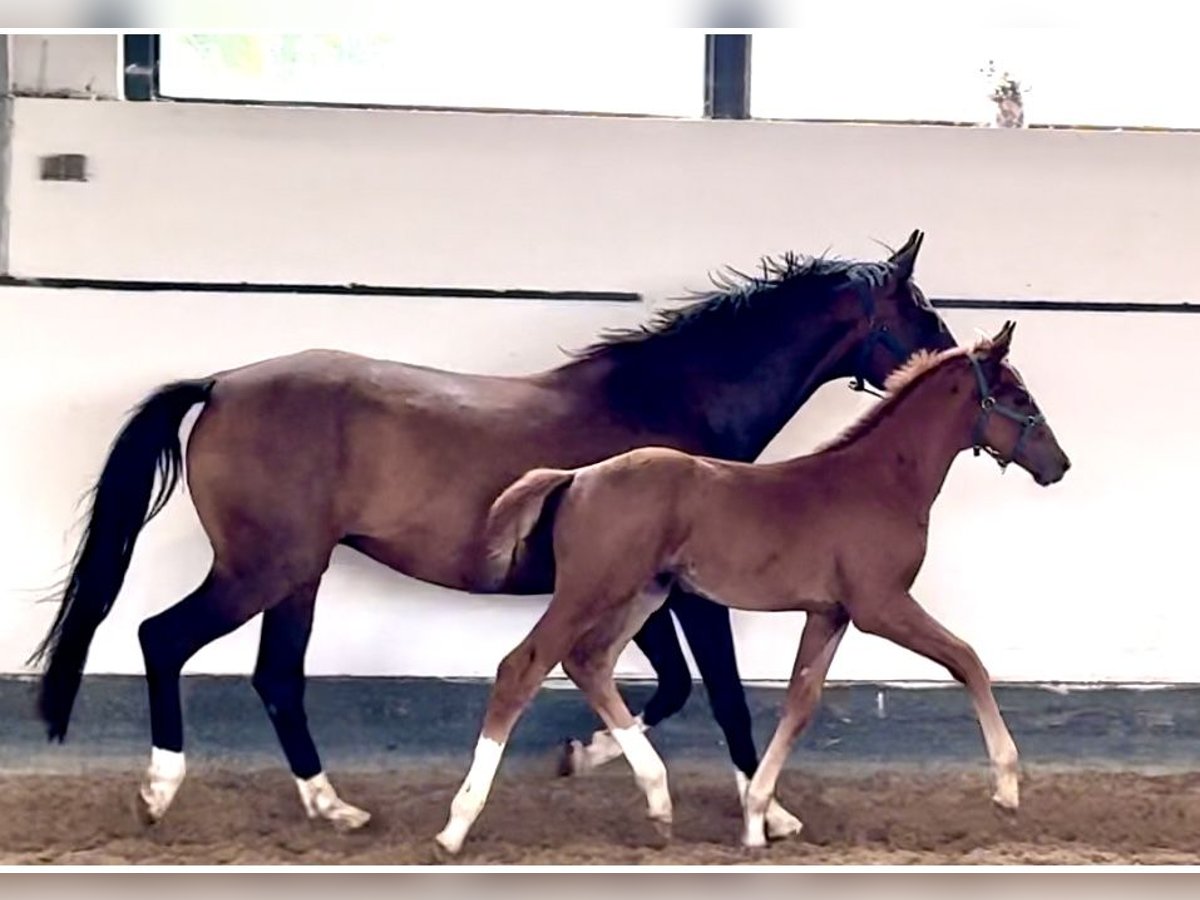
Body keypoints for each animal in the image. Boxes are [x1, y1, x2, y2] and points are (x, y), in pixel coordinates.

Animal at [28, 230, 955, 830]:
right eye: (919, 312)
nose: (955, 363)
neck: (674, 406)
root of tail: (220, 385)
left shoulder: (639, 596)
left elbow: (666, 688)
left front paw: (582, 755)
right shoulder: (689, 597)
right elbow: (718, 693)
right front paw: (770, 811)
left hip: (298, 576)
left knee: (276, 679)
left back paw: (334, 806)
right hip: (260, 569)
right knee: (163, 638)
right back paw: (159, 790)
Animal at [436, 321, 1075, 854]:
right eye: (1019, 398)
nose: (1060, 466)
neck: (880, 480)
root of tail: (576, 477)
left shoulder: (830, 613)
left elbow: (800, 702)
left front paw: (758, 817)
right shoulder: (880, 605)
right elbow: (967, 660)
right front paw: (1007, 788)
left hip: (644, 594)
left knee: (588, 662)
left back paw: (654, 798)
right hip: (593, 589)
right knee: (524, 666)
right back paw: (457, 826)